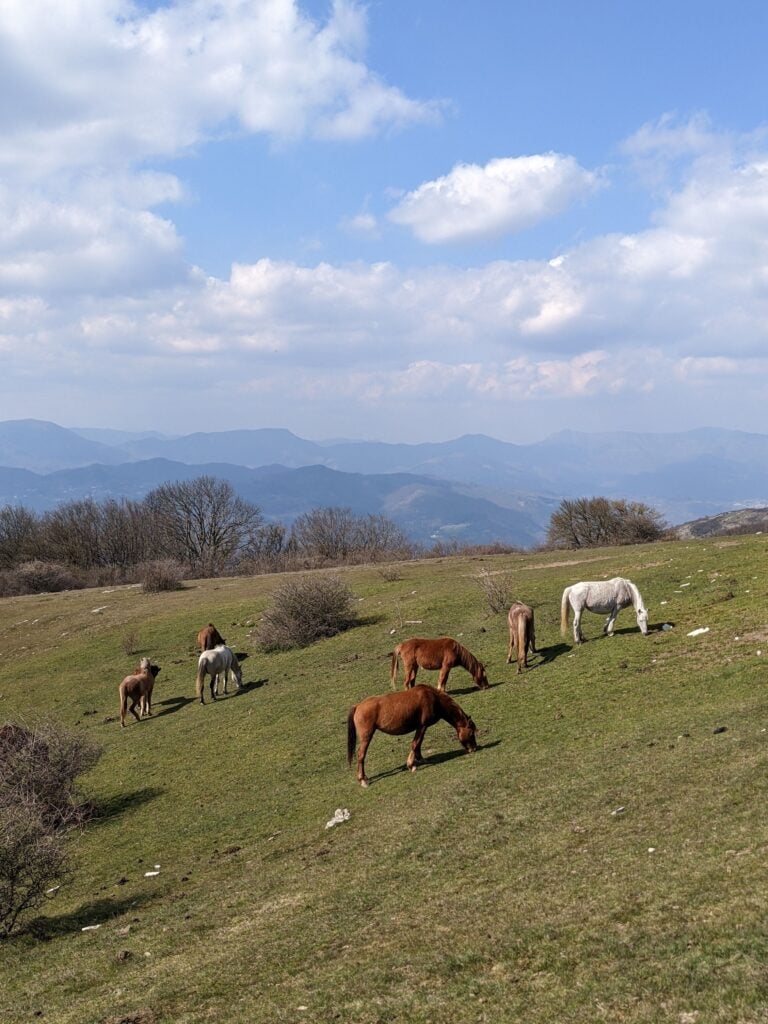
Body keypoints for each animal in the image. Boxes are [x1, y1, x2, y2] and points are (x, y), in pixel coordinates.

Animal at [347, 684, 477, 787]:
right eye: (471, 733)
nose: (474, 748)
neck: (433, 698)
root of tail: (357, 706)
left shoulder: (422, 727)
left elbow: (418, 744)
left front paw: (421, 759)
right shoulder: (422, 726)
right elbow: (415, 743)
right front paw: (411, 765)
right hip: (366, 736)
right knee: (361, 755)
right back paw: (363, 780)